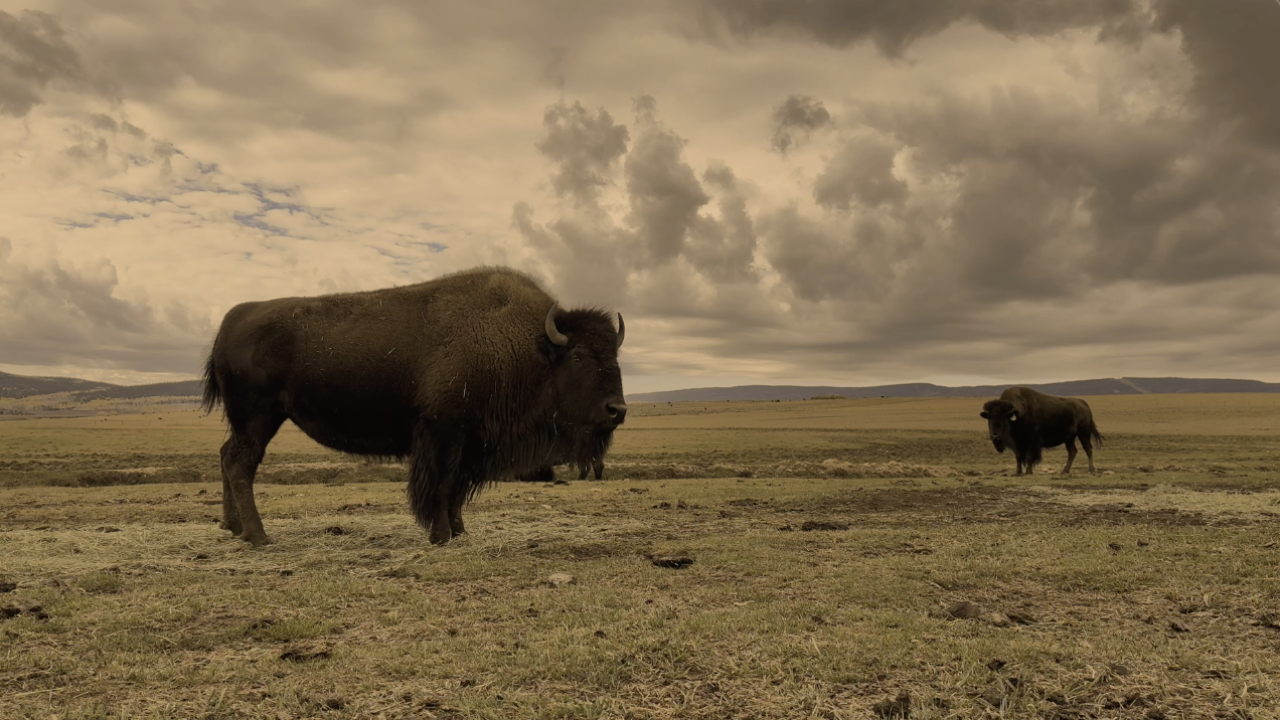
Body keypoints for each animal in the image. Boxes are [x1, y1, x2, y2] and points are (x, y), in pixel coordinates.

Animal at [201, 266, 627, 546]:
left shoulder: (470, 441)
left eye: (615, 355)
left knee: (226, 456)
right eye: (578, 357)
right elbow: (441, 485)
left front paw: (459, 530)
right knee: (240, 464)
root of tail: (233, 318)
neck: (528, 346)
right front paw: (440, 535)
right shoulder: (444, 432)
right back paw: (258, 535)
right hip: (257, 417)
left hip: (252, 421)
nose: (618, 410)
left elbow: (457, 488)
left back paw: (232, 527)